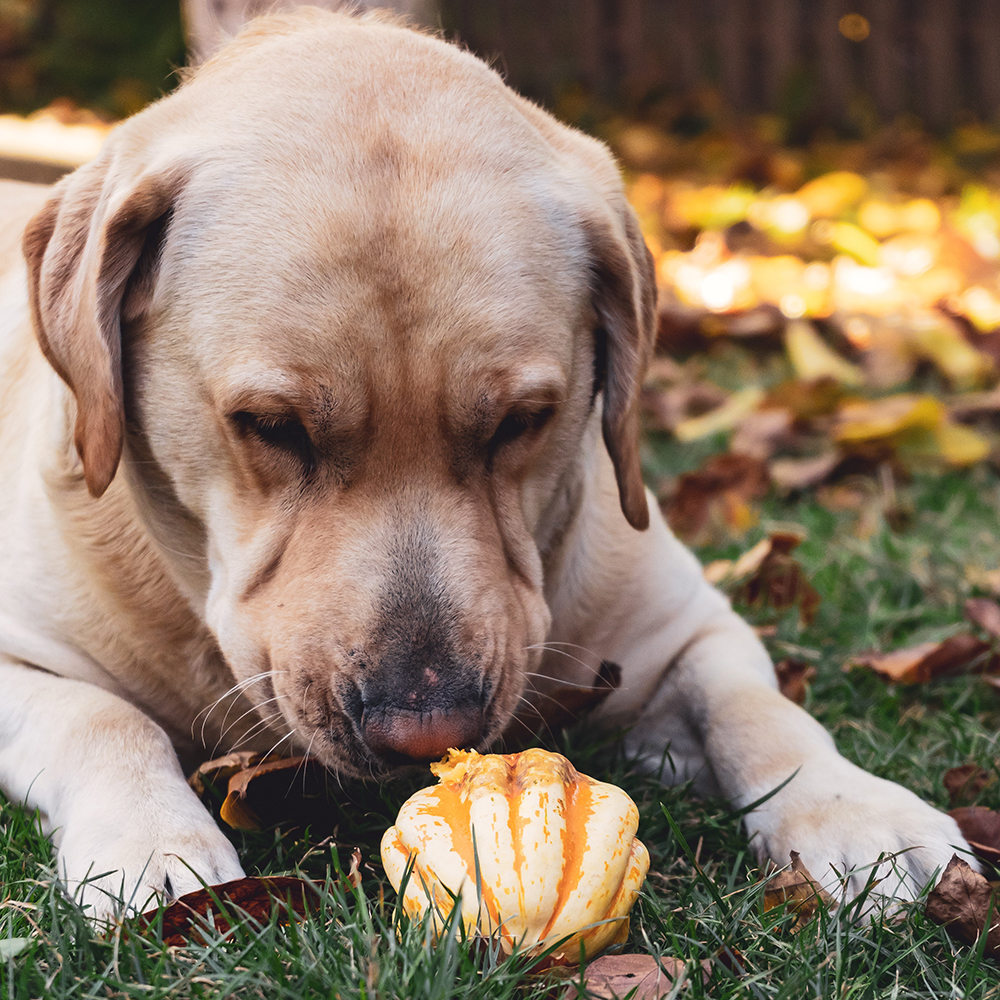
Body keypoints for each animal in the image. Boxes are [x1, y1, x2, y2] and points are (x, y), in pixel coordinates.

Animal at [0, 7, 968, 916]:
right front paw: (154, 846)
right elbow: (103, 717)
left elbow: (756, 706)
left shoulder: (689, 627)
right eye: (271, 425)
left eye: (523, 421)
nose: (425, 730)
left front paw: (859, 813)